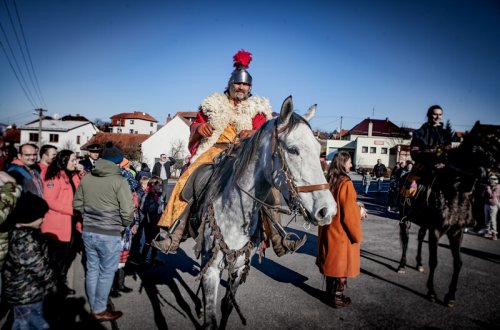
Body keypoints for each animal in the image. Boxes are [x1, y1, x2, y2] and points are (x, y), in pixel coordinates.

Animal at [193, 94, 338, 328]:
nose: (328, 210)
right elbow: (211, 320)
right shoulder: (212, 270)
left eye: (319, 151)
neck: (233, 212)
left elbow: (227, 306)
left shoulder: (238, 267)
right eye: (293, 149)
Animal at [396, 121, 498, 306]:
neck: (454, 192)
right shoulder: (436, 230)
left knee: (420, 237)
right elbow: (434, 261)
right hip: (405, 219)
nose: (493, 177)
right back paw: (402, 265)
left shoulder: (456, 232)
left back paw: (419, 263)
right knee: (406, 240)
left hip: (424, 224)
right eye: (478, 147)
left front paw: (450, 296)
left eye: (495, 145)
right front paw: (431, 292)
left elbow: (458, 263)